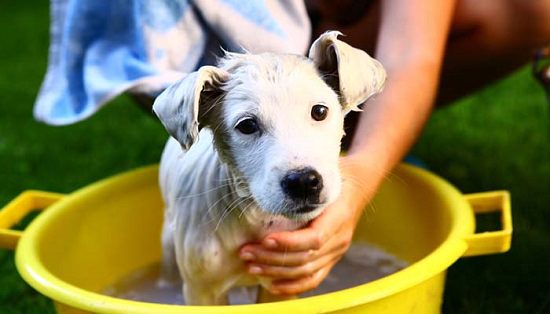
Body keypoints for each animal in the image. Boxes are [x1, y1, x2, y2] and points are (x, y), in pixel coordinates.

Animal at [153, 31, 386, 304]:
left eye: (319, 111)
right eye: (247, 125)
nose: (303, 182)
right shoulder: (202, 290)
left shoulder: (283, 282)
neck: (257, 219)